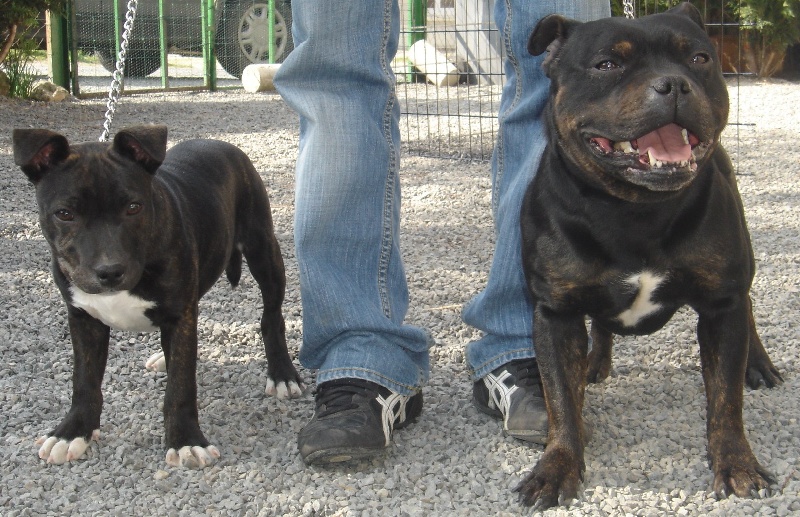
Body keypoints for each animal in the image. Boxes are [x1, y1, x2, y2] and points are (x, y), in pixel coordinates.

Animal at [13, 125, 303, 468]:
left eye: (133, 207)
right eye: (64, 214)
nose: (109, 271)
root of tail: (220, 144)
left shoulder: (179, 316)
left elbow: (180, 386)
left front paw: (186, 441)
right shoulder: (83, 317)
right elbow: (84, 380)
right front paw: (73, 433)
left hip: (264, 251)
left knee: (271, 316)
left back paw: (282, 374)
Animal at [516, 3, 782, 508]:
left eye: (699, 58)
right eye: (606, 65)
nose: (674, 84)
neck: (633, 209)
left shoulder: (721, 306)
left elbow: (726, 399)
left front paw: (736, 463)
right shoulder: (556, 313)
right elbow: (561, 401)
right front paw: (557, 467)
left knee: (749, 307)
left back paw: (758, 364)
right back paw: (595, 362)